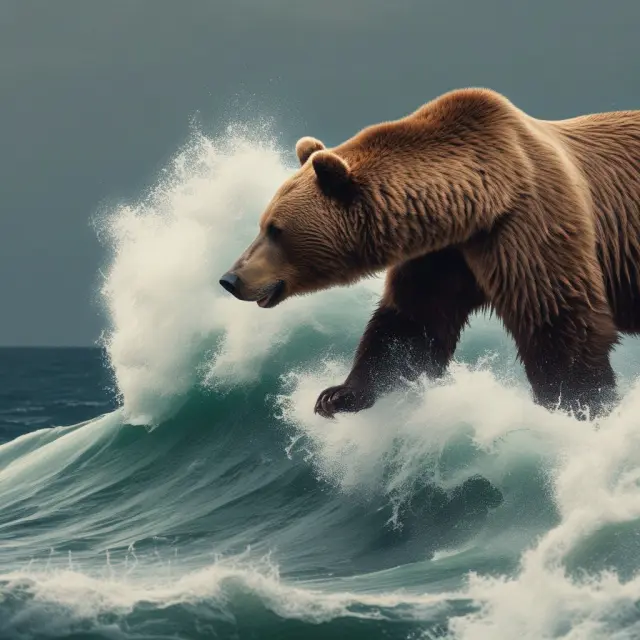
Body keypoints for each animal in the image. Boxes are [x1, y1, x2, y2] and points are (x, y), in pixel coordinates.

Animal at [219, 87, 640, 420]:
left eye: (276, 229)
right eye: (262, 223)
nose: (230, 278)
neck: (475, 205)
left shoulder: (526, 225)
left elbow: (559, 320)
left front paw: (578, 404)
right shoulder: (445, 256)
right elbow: (411, 324)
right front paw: (337, 394)